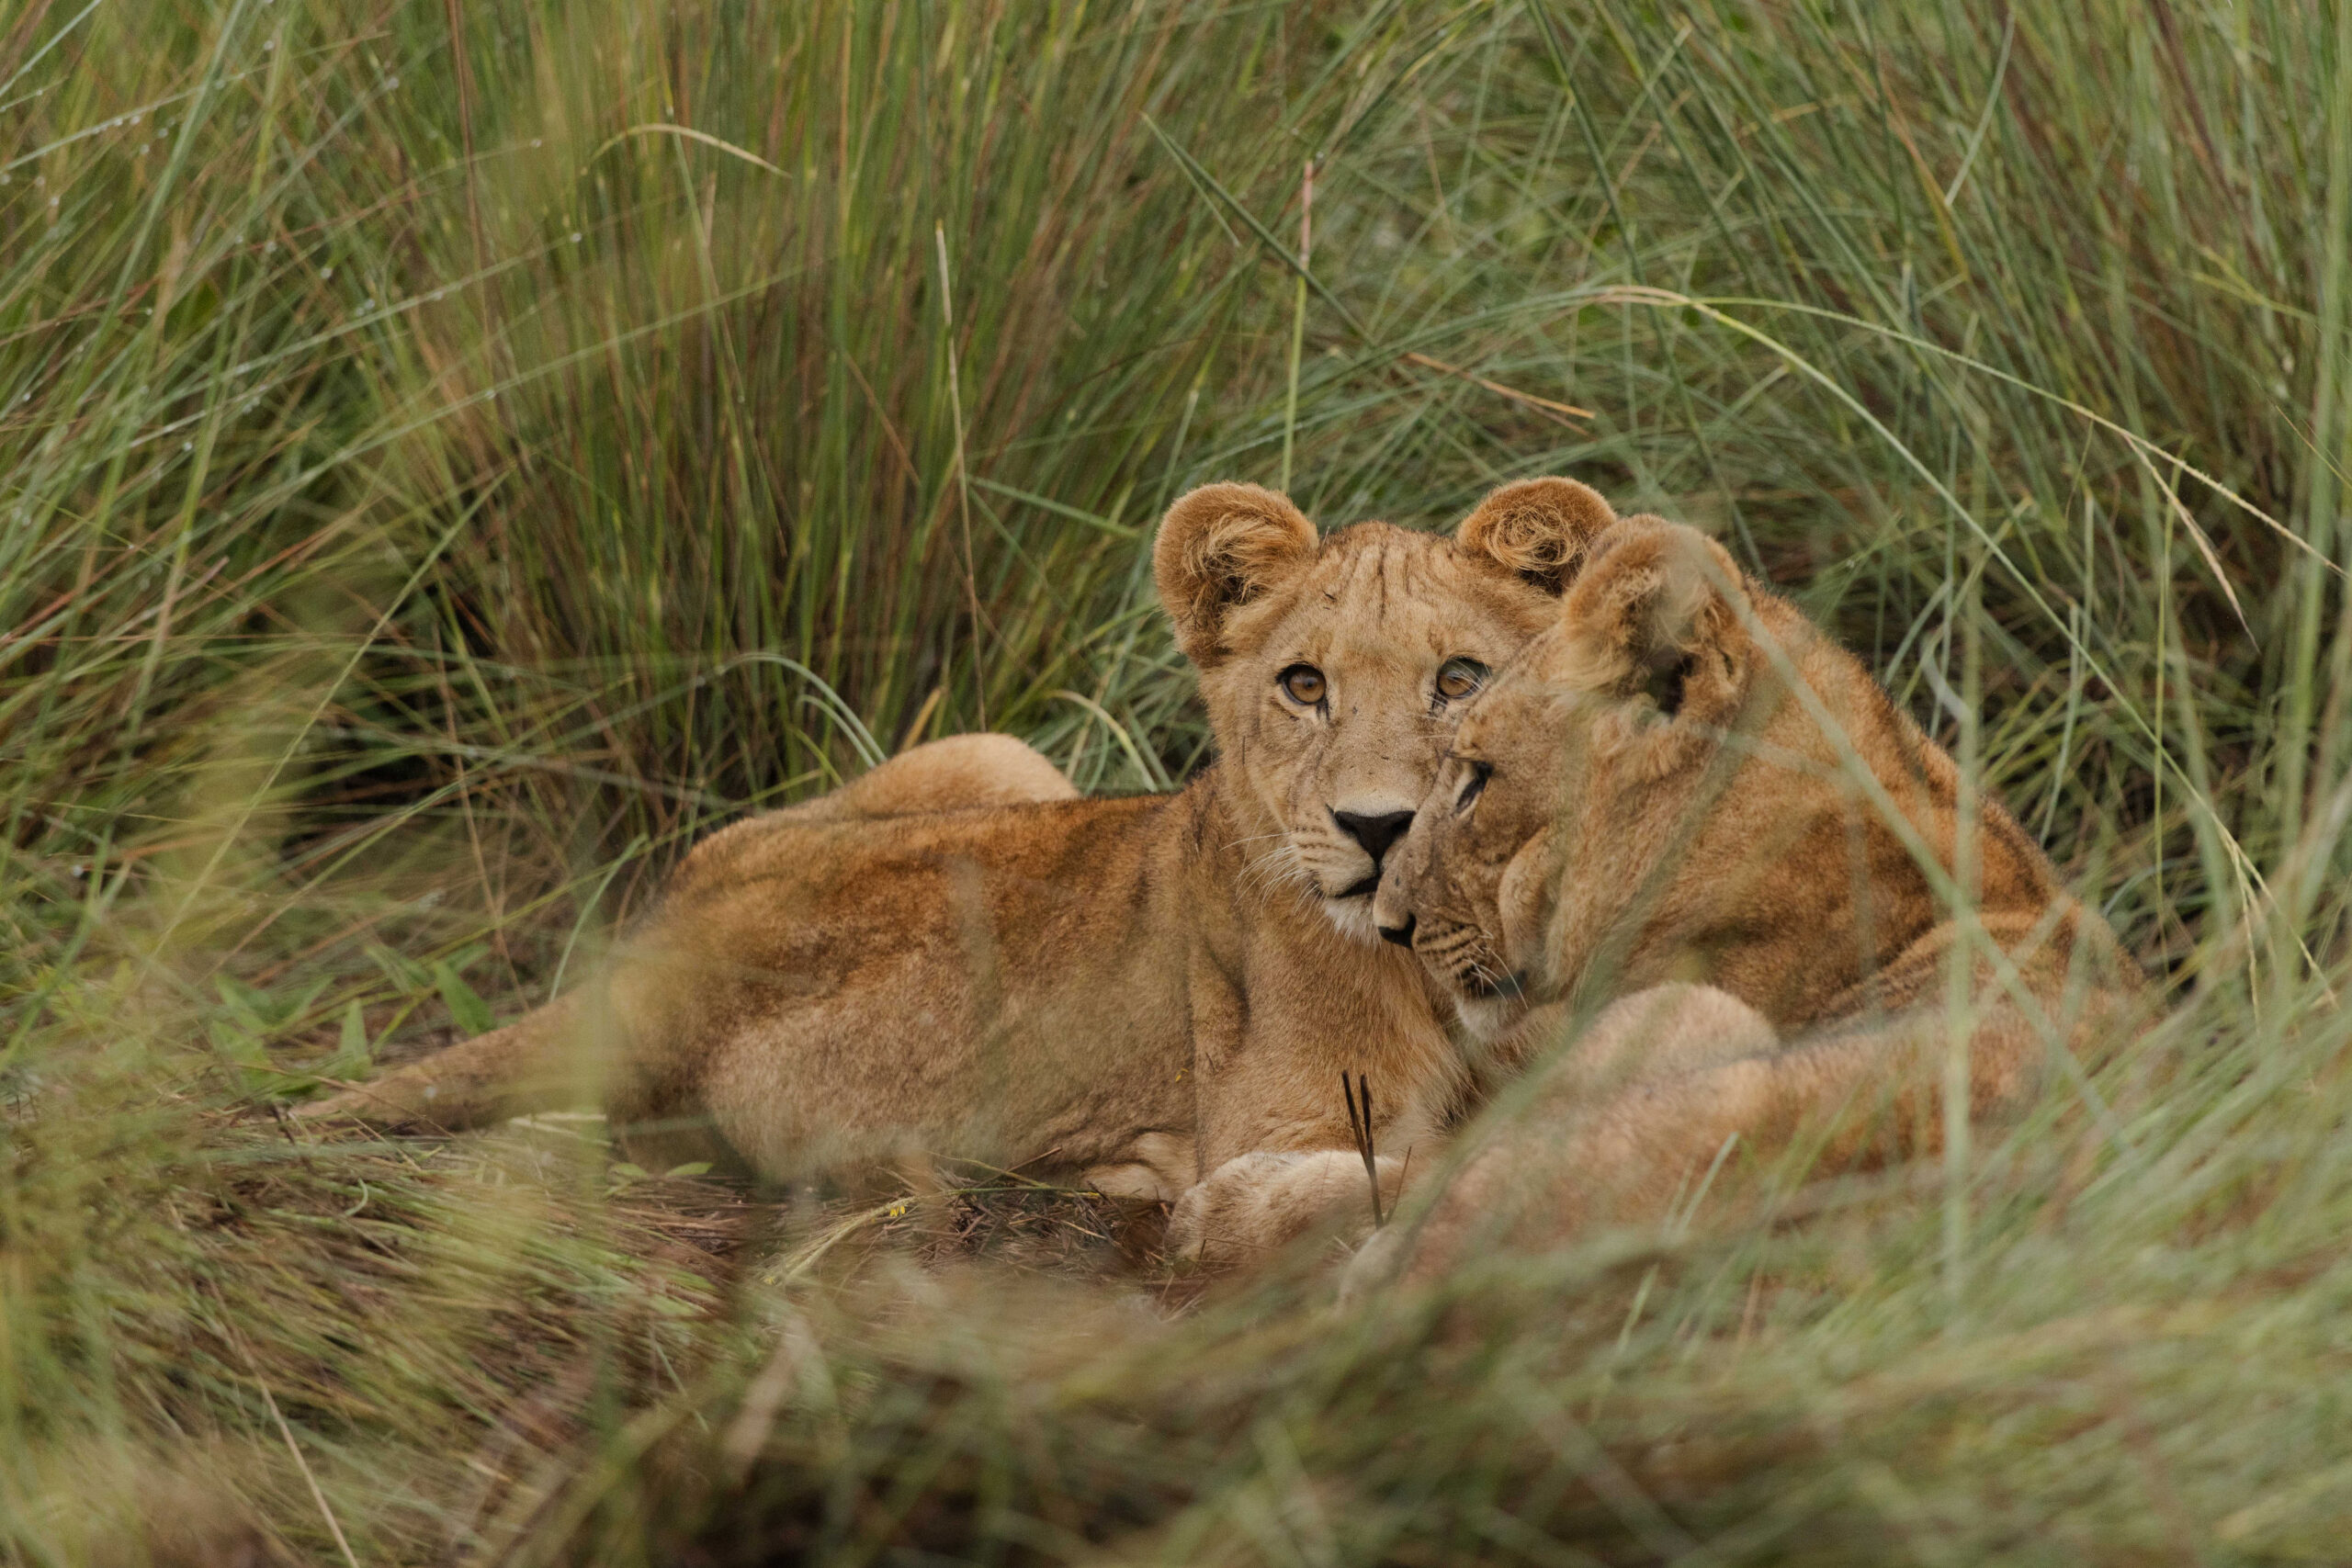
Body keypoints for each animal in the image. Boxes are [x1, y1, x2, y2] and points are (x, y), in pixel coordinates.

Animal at [302, 478, 1614, 1216]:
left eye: (1460, 679)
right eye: (1304, 686)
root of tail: (661, 952)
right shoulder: (1269, 1139)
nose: (1377, 827)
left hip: (996, 757)